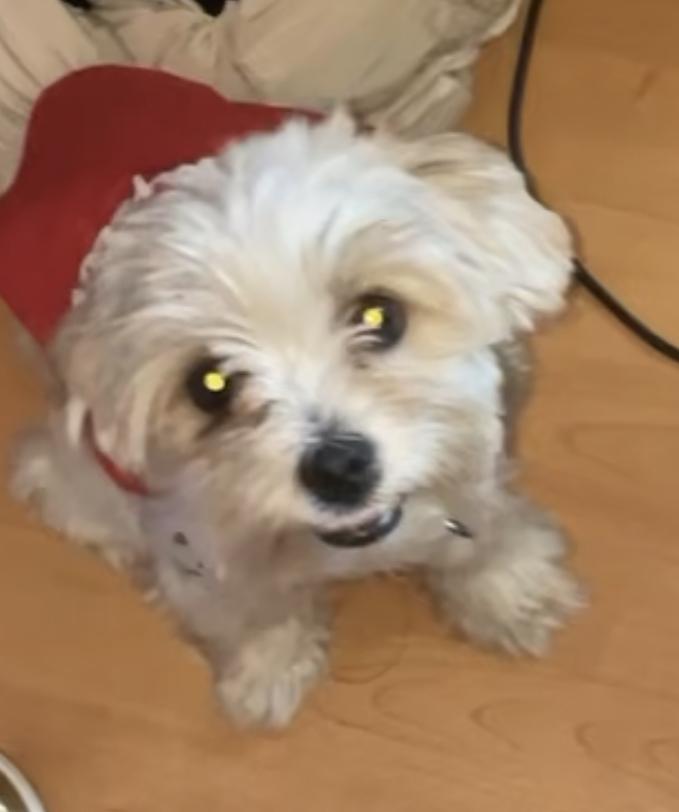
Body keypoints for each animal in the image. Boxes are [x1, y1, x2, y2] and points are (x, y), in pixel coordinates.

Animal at [5, 67, 583, 728]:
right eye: (210, 384)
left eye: (379, 314)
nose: (340, 467)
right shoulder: (168, 531)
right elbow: (243, 607)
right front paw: (267, 667)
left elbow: (482, 521)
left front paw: (507, 591)